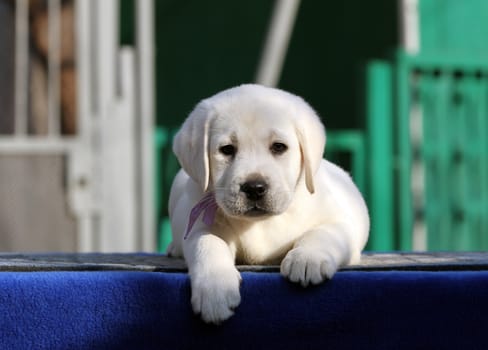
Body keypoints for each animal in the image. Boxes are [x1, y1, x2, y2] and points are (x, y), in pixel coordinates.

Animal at [168, 84, 370, 322]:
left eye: (279, 147)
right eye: (227, 149)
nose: (254, 188)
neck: (261, 223)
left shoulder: (339, 222)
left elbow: (321, 233)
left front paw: (307, 259)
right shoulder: (199, 227)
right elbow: (208, 243)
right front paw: (215, 289)